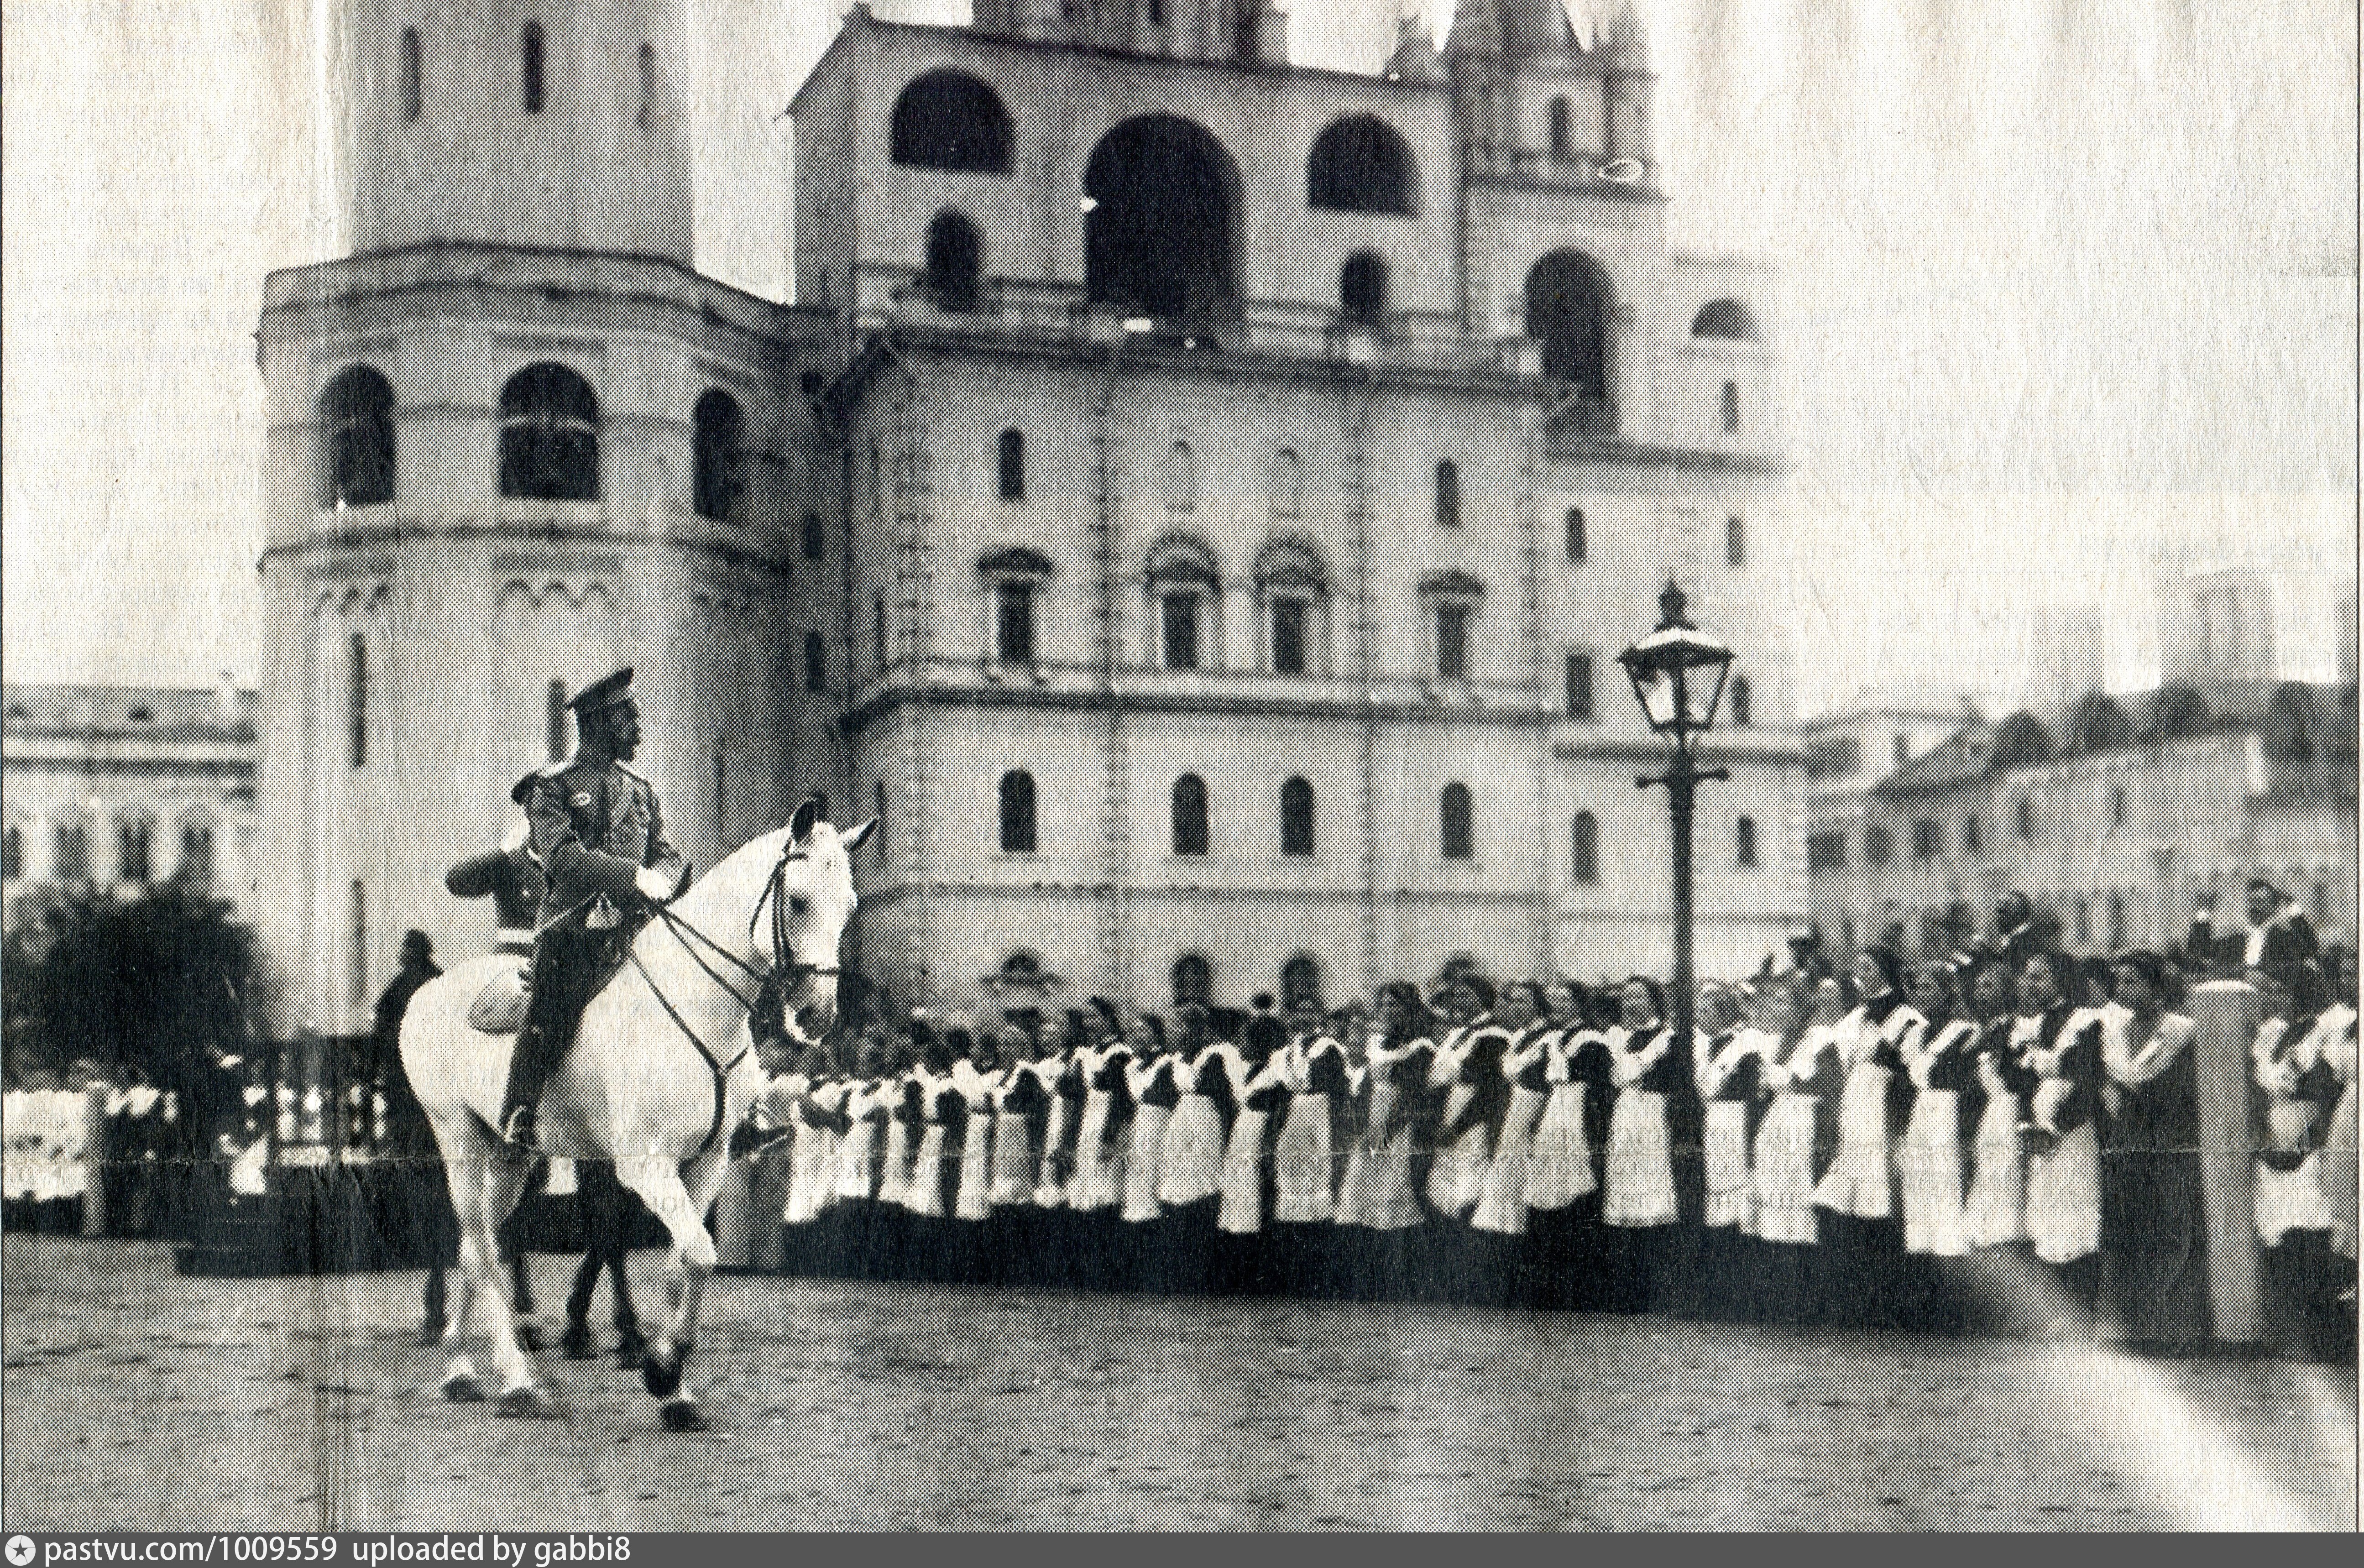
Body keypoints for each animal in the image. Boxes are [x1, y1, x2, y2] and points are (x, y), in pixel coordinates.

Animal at [402, 804, 874, 1428]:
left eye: (849, 904)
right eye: (796, 900)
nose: (818, 1016)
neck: (698, 1004)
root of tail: (429, 989)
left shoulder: (707, 1162)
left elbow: (686, 1262)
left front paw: (673, 1387)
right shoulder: (645, 1165)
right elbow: (697, 1252)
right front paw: (662, 1369)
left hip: (508, 1155)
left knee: (477, 1245)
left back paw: (461, 1366)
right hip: (458, 1140)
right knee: (480, 1250)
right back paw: (516, 1381)